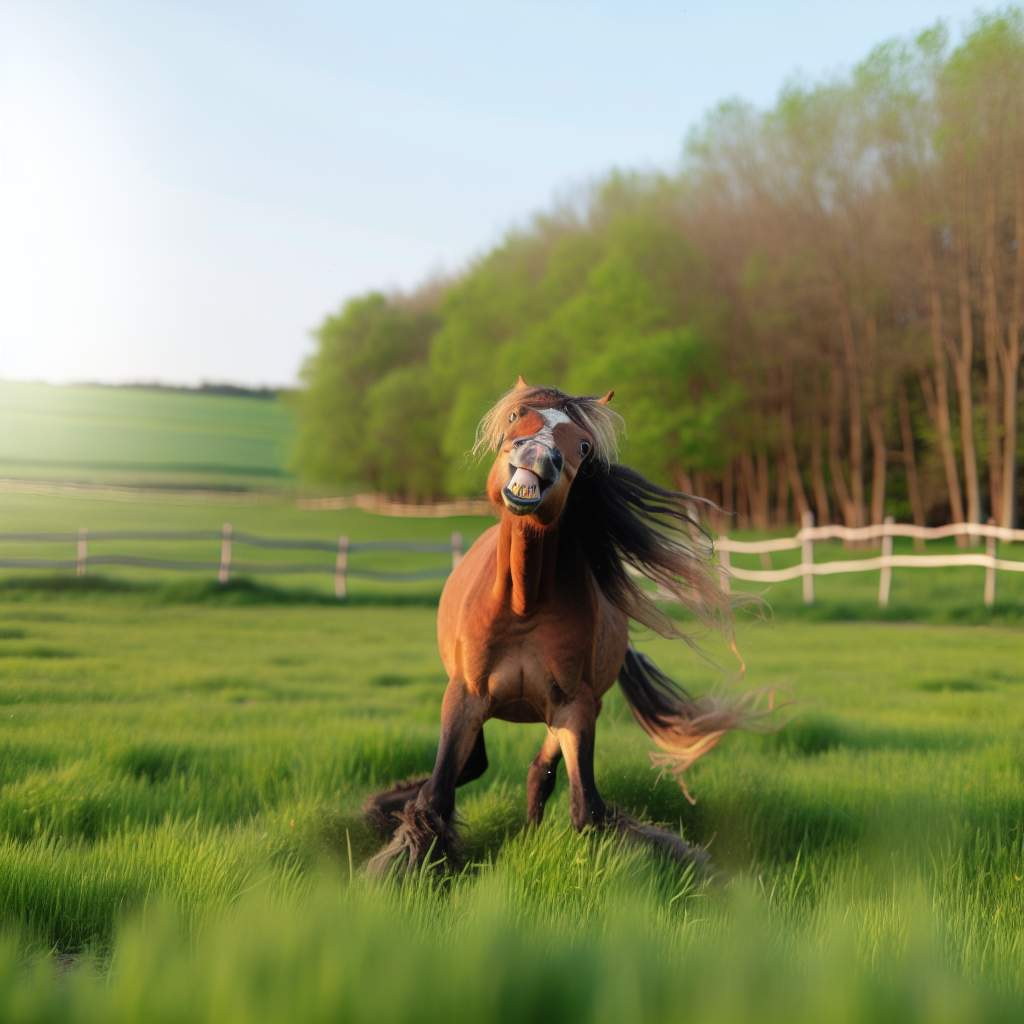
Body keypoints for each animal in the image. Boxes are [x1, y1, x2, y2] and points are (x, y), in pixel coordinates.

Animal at [366, 380, 753, 876]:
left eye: (584, 446)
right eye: (517, 417)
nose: (537, 455)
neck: (523, 604)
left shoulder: (575, 707)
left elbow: (585, 806)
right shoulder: (465, 696)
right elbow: (437, 796)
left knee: (537, 773)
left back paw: (527, 834)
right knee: (475, 767)